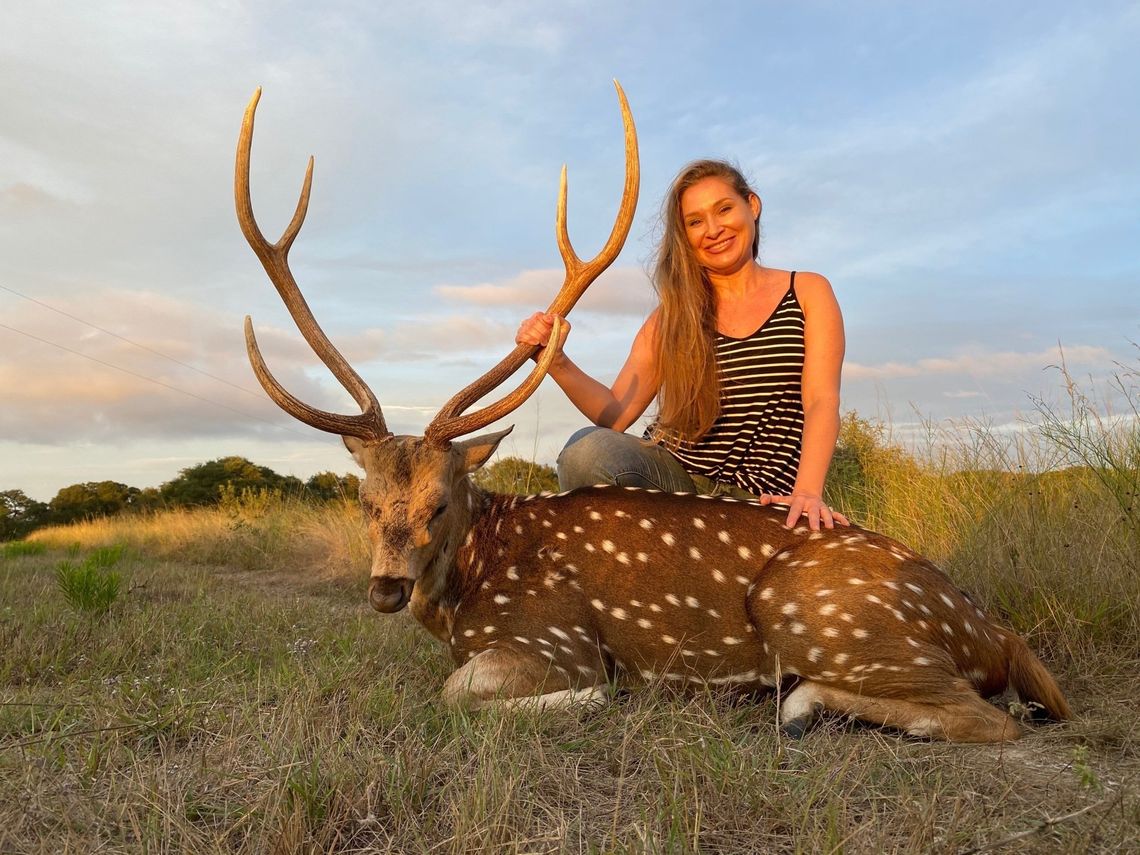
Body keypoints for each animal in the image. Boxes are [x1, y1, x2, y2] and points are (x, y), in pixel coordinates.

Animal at [236, 86, 1071, 743]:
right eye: (364, 500)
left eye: (440, 501)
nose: (385, 588)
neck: (471, 592)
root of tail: (996, 629)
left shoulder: (555, 633)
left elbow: (456, 692)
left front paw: (589, 697)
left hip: (818, 610)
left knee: (985, 717)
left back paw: (799, 702)